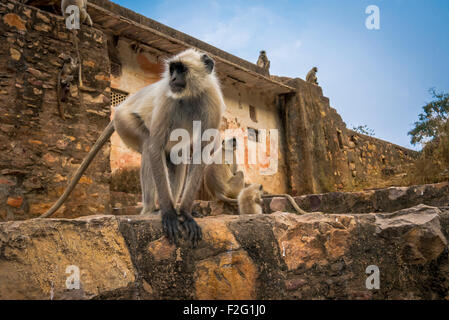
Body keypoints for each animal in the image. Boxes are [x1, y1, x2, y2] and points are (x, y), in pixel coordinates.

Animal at [41, 48, 224, 248]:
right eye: (173, 69)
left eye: (181, 69)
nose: (173, 79)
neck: (190, 95)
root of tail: (120, 107)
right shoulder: (167, 99)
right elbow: (155, 147)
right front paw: (169, 213)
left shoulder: (212, 102)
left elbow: (200, 154)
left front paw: (185, 213)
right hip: (124, 121)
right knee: (149, 145)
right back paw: (152, 209)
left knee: (177, 156)